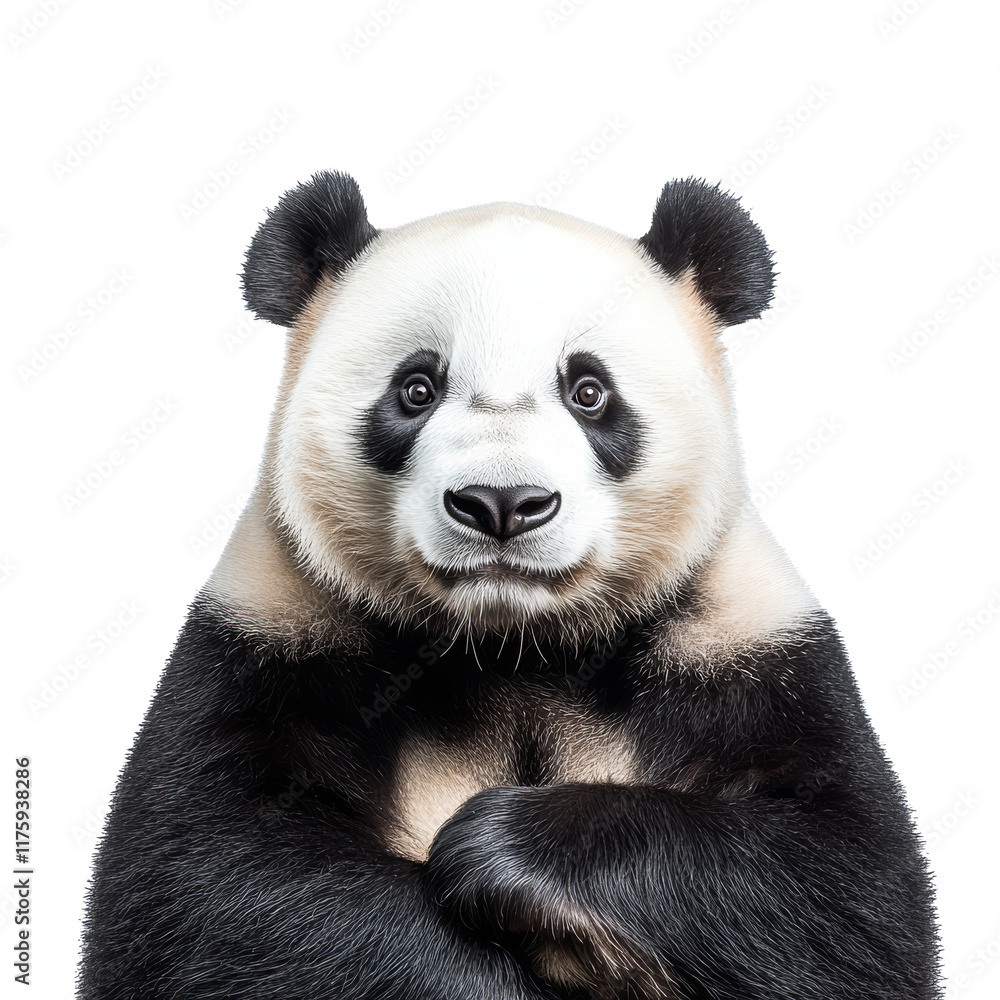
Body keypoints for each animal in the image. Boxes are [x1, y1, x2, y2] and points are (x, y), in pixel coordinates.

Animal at [79, 171, 940, 1000]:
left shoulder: (744, 644)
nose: (501, 503)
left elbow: (838, 886)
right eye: (416, 388)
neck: (512, 646)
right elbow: (213, 885)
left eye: (589, 391)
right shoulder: (276, 632)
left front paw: (506, 850)